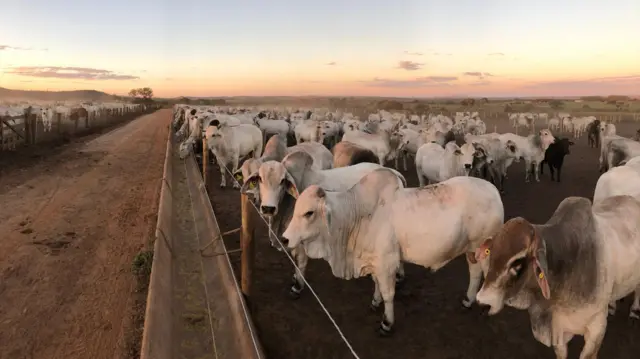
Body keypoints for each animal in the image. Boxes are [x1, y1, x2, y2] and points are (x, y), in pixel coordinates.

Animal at [240, 152, 404, 298]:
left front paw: (297, 286)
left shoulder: (301, 237)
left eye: (282, 181)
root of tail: (395, 173)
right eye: (260, 179)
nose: (268, 208)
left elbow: (300, 261)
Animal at [282, 170, 504, 336]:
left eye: (309, 213)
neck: (357, 215)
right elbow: (377, 284)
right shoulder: (375, 261)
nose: (284, 238)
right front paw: (375, 302)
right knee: (475, 273)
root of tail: (493, 190)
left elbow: (389, 294)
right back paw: (468, 300)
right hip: (471, 250)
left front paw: (387, 323)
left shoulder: (387, 262)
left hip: (485, 250)